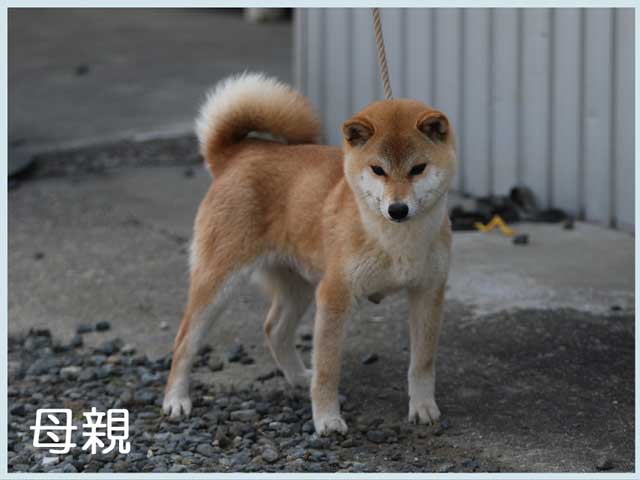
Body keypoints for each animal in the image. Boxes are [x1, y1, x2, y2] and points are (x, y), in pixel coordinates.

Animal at [164, 72, 456, 436]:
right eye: (378, 169)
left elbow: (422, 363)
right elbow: (329, 368)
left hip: (299, 285)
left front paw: (423, 407)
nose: (397, 209)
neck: (396, 241)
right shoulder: (335, 294)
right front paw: (327, 419)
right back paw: (176, 399)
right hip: (220, 282)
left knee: (273, 329)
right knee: (184, 340)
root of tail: (238, 154)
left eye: (418, 168)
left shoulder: (427, 293)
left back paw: (299, 377)